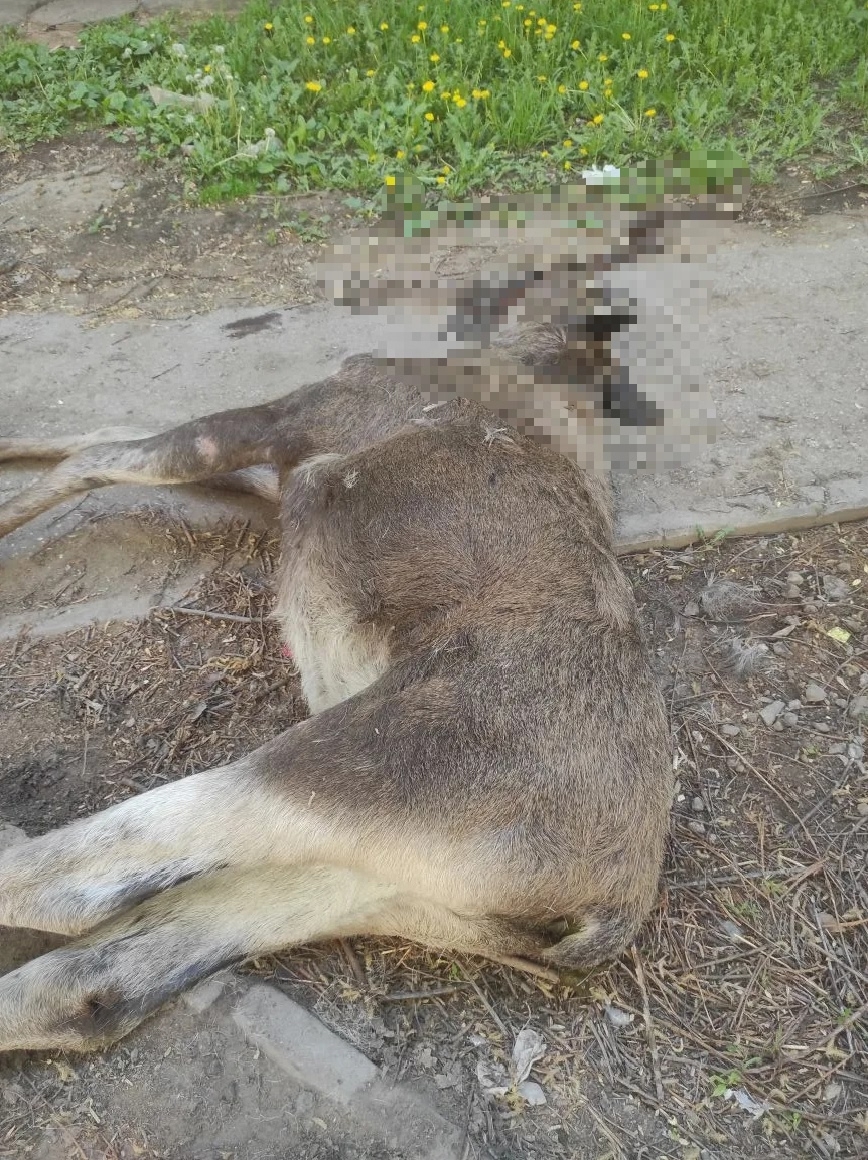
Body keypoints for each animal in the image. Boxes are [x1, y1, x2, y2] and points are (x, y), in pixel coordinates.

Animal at [0, 171, 742, 1054]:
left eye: (545, 270)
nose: (478, 283)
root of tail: (608, 907)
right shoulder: (281, 476)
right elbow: (100, 438)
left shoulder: (287, 423)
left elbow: (101, 456)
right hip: (368, 883)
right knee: (94, 981)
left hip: (322, 774)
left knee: (62, 888)